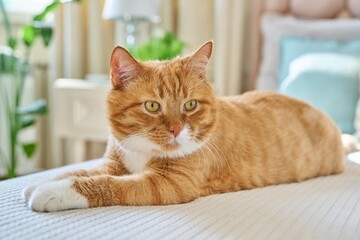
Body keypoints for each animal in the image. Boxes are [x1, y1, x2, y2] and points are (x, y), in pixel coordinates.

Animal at [22, 41, 344, 212]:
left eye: (190, 105)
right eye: (153, 106)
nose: (177, 129)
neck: (142, 151)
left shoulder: (168, 184)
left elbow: (106, 184)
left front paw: (53, 191)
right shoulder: (114, 163)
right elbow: (83, 171)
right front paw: (41, 181)